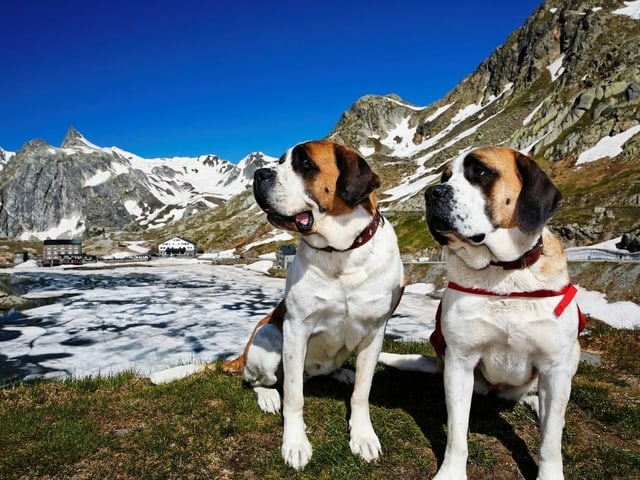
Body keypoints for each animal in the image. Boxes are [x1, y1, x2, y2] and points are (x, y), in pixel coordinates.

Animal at [219, 141, 400, 470]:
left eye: (304, 164)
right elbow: (294, 397)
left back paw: (343, 373)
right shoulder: (295, 329)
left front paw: (363, 436)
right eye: (280, 162)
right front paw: (295, 443)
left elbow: (362, 393)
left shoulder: (375, 333)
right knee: (256, 380)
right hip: (268, 337)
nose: (259, 174)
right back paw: (268, 396)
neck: (341, 253)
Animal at [380, 147, 584, 480]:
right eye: (445, 176)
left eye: (480, 173)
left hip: (572, 355)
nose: (431, 193)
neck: (502, 273)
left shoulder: (555, 366)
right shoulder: (460, 363)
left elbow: (550, 441)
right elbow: (457, 433)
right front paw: (451, 472)